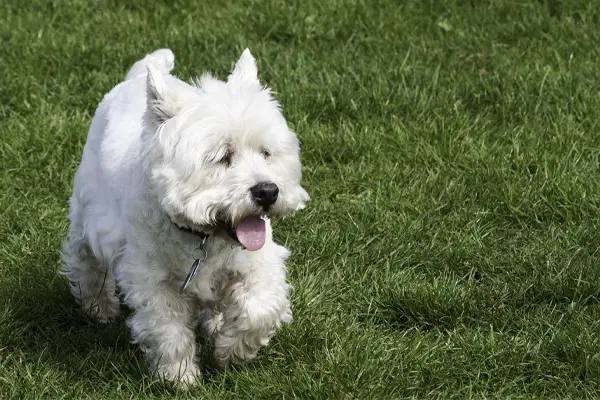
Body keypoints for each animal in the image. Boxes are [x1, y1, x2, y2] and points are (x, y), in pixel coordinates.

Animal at [61, 48, 310, 386]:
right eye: (222, 156)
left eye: (266, 152)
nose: (268, 191)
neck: (204, 237)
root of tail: (136, 76)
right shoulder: (151, 279)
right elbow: (168, 330)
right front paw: (180, 377)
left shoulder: (259, 263)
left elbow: (260, 309)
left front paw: (230, 351)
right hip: (86, 217)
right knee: (85, 261)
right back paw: (99, 308)